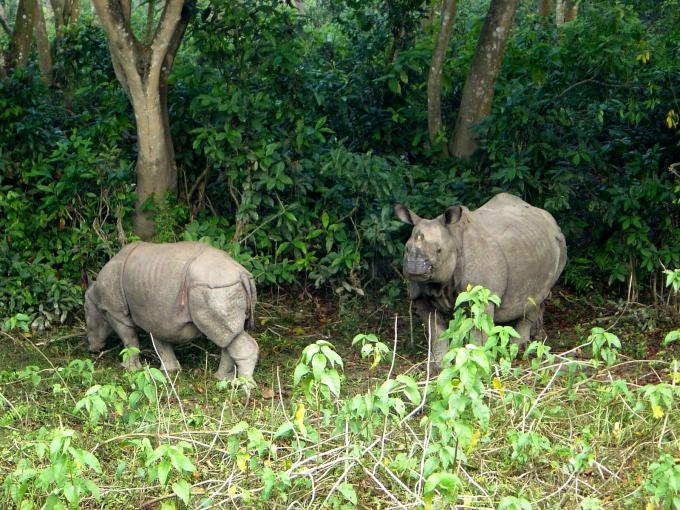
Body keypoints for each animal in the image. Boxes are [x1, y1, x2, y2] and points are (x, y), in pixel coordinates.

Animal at [83, 241, 259, 379]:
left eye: (86, 314)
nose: (92, 349)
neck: (95, 295)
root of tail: (242, 274)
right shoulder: (156, 315)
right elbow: (161, 343)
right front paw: (170, 370)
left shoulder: (115, 312)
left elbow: (129, 340)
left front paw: (129, 369)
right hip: (223, 287)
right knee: (228, 336)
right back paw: (222, 379)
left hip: (215, 288)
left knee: (224, 335)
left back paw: (242, 386)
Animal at [395, 192, 566, 366]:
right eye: (406, 249)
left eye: (439, 250)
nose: (414, 268)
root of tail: (549, 218)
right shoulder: (420, 296)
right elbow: (436, 331)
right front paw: (439, 364)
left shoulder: (483, 296)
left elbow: (478, 331)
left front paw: (478, 362)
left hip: (558, 243)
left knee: (536, 298)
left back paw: (519, 349)